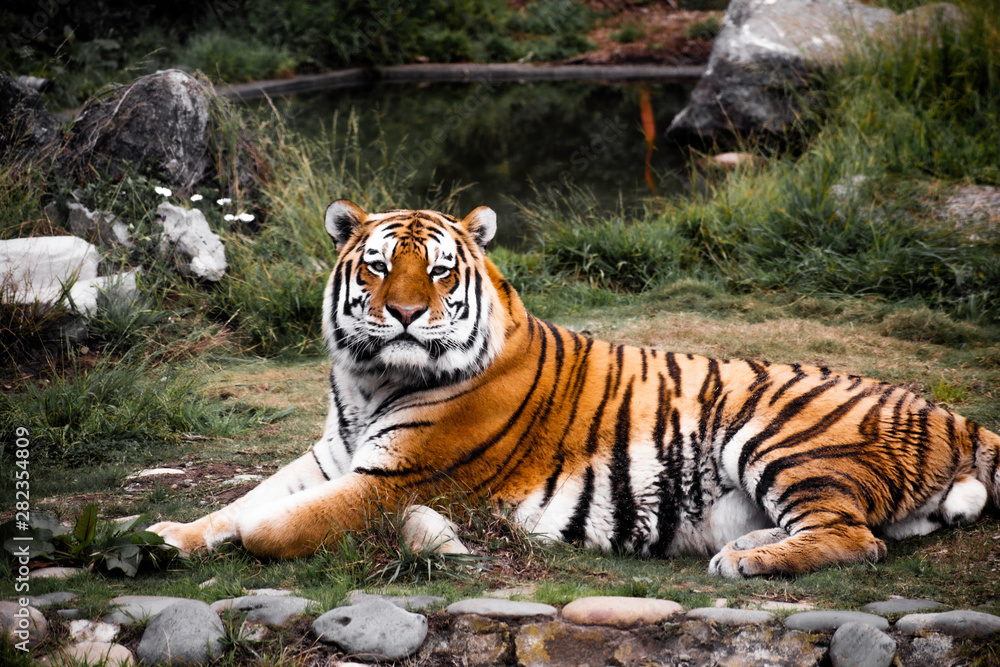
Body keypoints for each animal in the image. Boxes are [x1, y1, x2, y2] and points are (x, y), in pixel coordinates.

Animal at [150, 200, 1000, 578]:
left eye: (441, 271)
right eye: (379, 265)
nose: (405, 313)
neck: (366, 377)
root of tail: (956, 415)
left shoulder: (396, 478)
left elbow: (276, 523)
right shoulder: (330, 456)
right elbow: (242, 500)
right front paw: (168, 535)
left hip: (780, 435)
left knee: (856, 537)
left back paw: (746, 564)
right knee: (856, 528)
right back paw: (748, 546)